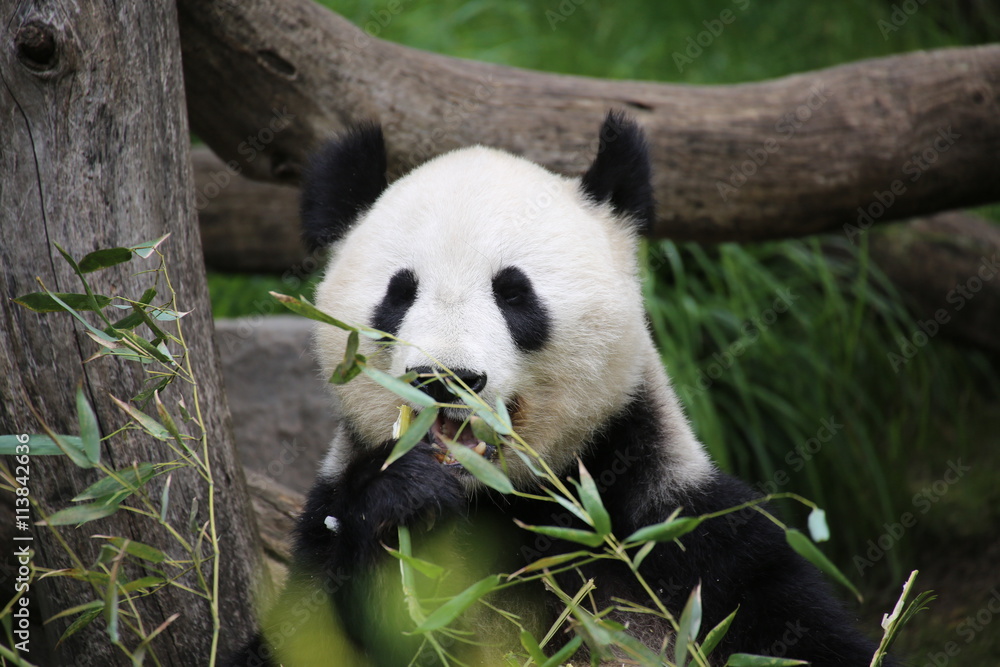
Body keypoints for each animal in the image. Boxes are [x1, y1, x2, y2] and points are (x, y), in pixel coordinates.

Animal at [227, 112, 893, 666]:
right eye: (398, 293)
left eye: (513, 292)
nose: (446, 378)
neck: (501, 504)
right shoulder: (326, 542)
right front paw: (401, 501)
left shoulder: (685, 540)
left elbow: (794, 632)